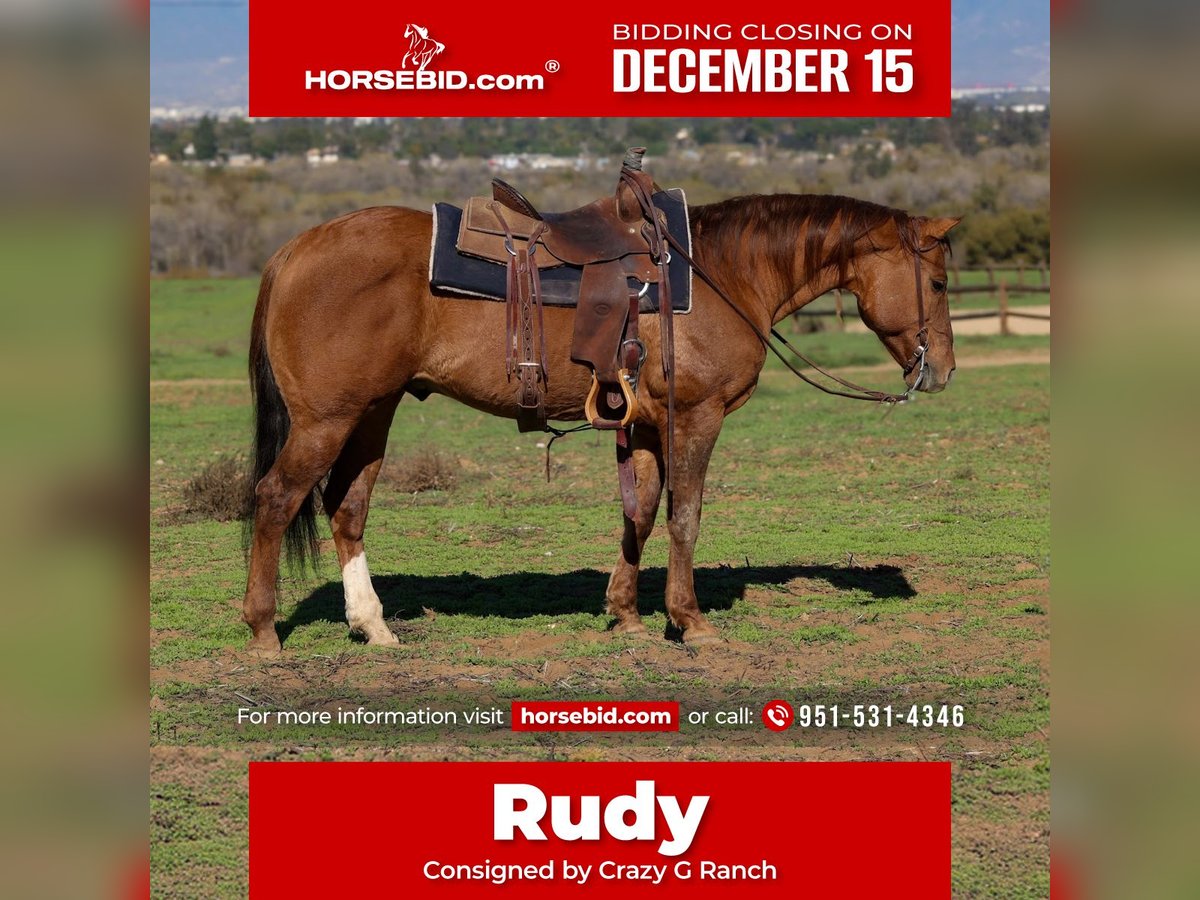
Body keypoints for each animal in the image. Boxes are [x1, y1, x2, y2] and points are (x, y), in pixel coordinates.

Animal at [241, 189, 960, 654]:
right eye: (940, 282)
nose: (943, 370)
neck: (722, 273)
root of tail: (293, 251)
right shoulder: (695, 419)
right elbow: (685, 516)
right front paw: (690, 622)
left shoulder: (642, 426)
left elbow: (638, 515)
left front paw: (626, 615)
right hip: (326, 421)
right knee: (276, 499)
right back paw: (263, 629)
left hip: (372, 414)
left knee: (346, 507)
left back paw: (374, 626)